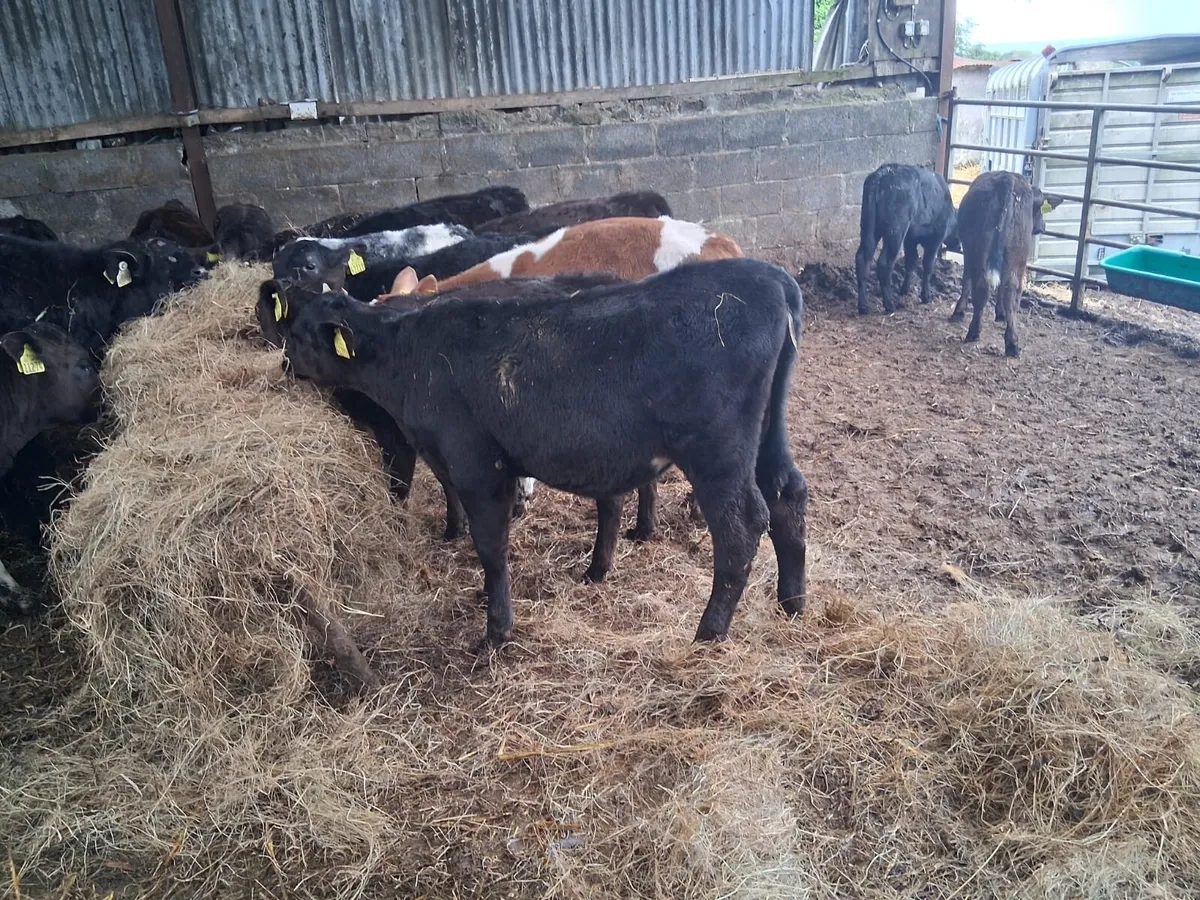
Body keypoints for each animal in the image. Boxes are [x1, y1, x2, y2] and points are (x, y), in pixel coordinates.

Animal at [278, 257, 809, 650]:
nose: (283, 365)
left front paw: (496, 631)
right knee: (788, 496)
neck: (410, 352)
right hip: (766, 434)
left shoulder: (476, 463)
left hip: (716, 449)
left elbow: (491, 546)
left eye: (299, 335)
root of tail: (769, 276)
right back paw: (792, 605)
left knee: (741, 526)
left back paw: (708, 635)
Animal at [855, 164, 960, 315]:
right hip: (896, 231)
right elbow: (928, 265)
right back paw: (889, 304)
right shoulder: (935, 238)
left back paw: (863, 307)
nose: (958, 246)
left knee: (862, 258)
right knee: (884, 263)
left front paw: (904, 289)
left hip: (869, 228)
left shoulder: (910, 239)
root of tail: (882, 173)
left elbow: (911, 261)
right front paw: (926, 296)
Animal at [950, 171, 1060, 357]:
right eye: (1038, 209)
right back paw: (1011, 343)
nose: (1043, 227)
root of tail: (1006, 178)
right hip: (1016, 256)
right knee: (1011, 291)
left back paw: (975, 331)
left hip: (981, 250)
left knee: (983, 287)